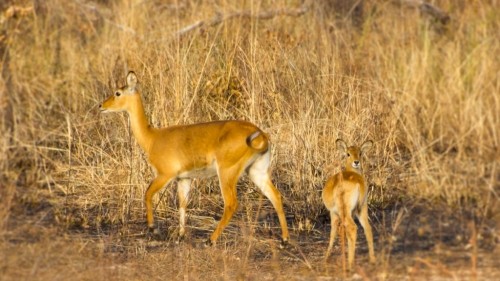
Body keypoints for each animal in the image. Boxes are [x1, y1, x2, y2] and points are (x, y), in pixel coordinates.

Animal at [98, 71, 290, 246]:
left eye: (118, 92)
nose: (101, 105)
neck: (152, 138)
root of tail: (260, 134)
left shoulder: (165, 175)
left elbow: (147, 194)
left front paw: (153, 228)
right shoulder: (184, 178)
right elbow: (183, 205)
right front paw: (180, 235)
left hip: (227, 172)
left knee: (232, 203)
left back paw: (210, 240)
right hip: (256, 171)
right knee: (275, 196)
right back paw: (284, 240)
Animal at [320, 138, 376, 270]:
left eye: (360, 153)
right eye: (348, 153)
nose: (356, 162)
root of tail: (358, 183)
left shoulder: (333, 213)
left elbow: (333, 232)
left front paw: (326, 257)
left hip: (345, 211)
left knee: (353, 227)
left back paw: (350, 263)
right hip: (362, 208)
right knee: (367, 228)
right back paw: (372, 260)